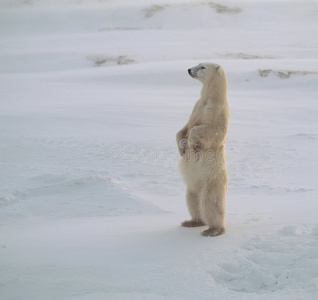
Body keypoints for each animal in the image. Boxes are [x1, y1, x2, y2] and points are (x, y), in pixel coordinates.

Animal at [176, 62, 229, 237]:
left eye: (203, 66)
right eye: (197, 64)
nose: (189, 69)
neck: (210, 97)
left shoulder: (217, 111)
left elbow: (210, 130)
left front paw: (192, 145)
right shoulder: (197, 106)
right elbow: (184, 128)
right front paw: (181, 149)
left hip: (211, 182)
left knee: (210, 204)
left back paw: (212, 230)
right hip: (193, 187)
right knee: (192, 201)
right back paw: (191, 221)